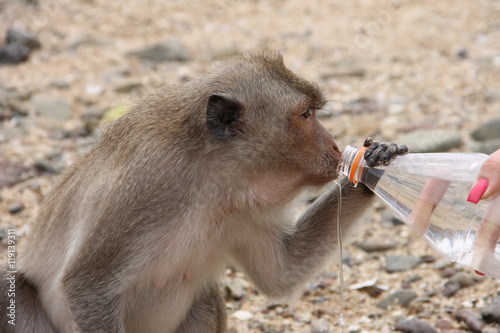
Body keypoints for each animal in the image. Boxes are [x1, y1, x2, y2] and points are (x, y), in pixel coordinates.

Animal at [0, 50, 406, 332]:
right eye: (306, 115)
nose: (336, 146)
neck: (212, 175)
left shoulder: (246, 207)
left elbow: (281, 274)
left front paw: (375, 166)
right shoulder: (147, 185)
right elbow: (87, 284)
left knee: (207, 298)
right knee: (14, 289)